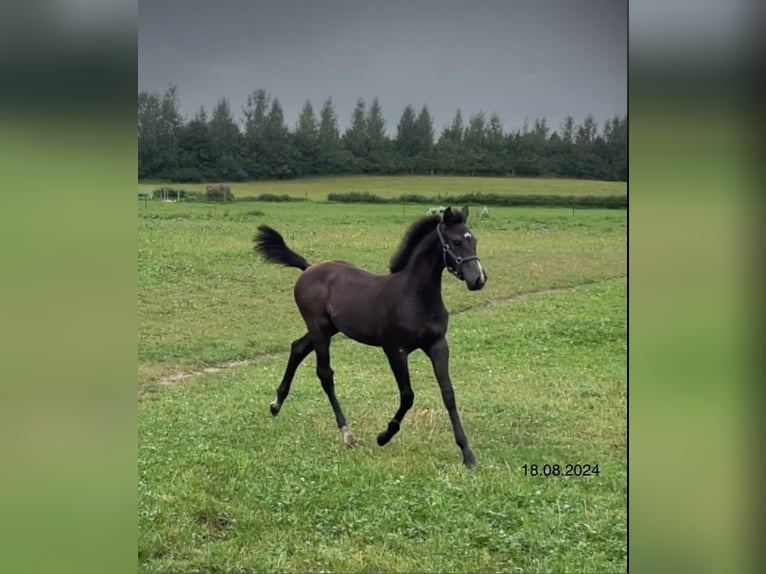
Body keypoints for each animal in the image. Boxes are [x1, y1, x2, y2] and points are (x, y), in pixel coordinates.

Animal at [253, 205, 487, 466]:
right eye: (456, 242)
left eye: (474, 240)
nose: (478, 279)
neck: (413, 296)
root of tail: (309, 268)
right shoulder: (395, 350)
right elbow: (408, 395)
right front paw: (384, 436)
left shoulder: (438, 345)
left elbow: (448, 394)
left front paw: (467, 453)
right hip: (320, 329)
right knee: (324, 373)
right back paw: (347, 433)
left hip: (329, 329)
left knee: (297, 347)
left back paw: (276, 405)